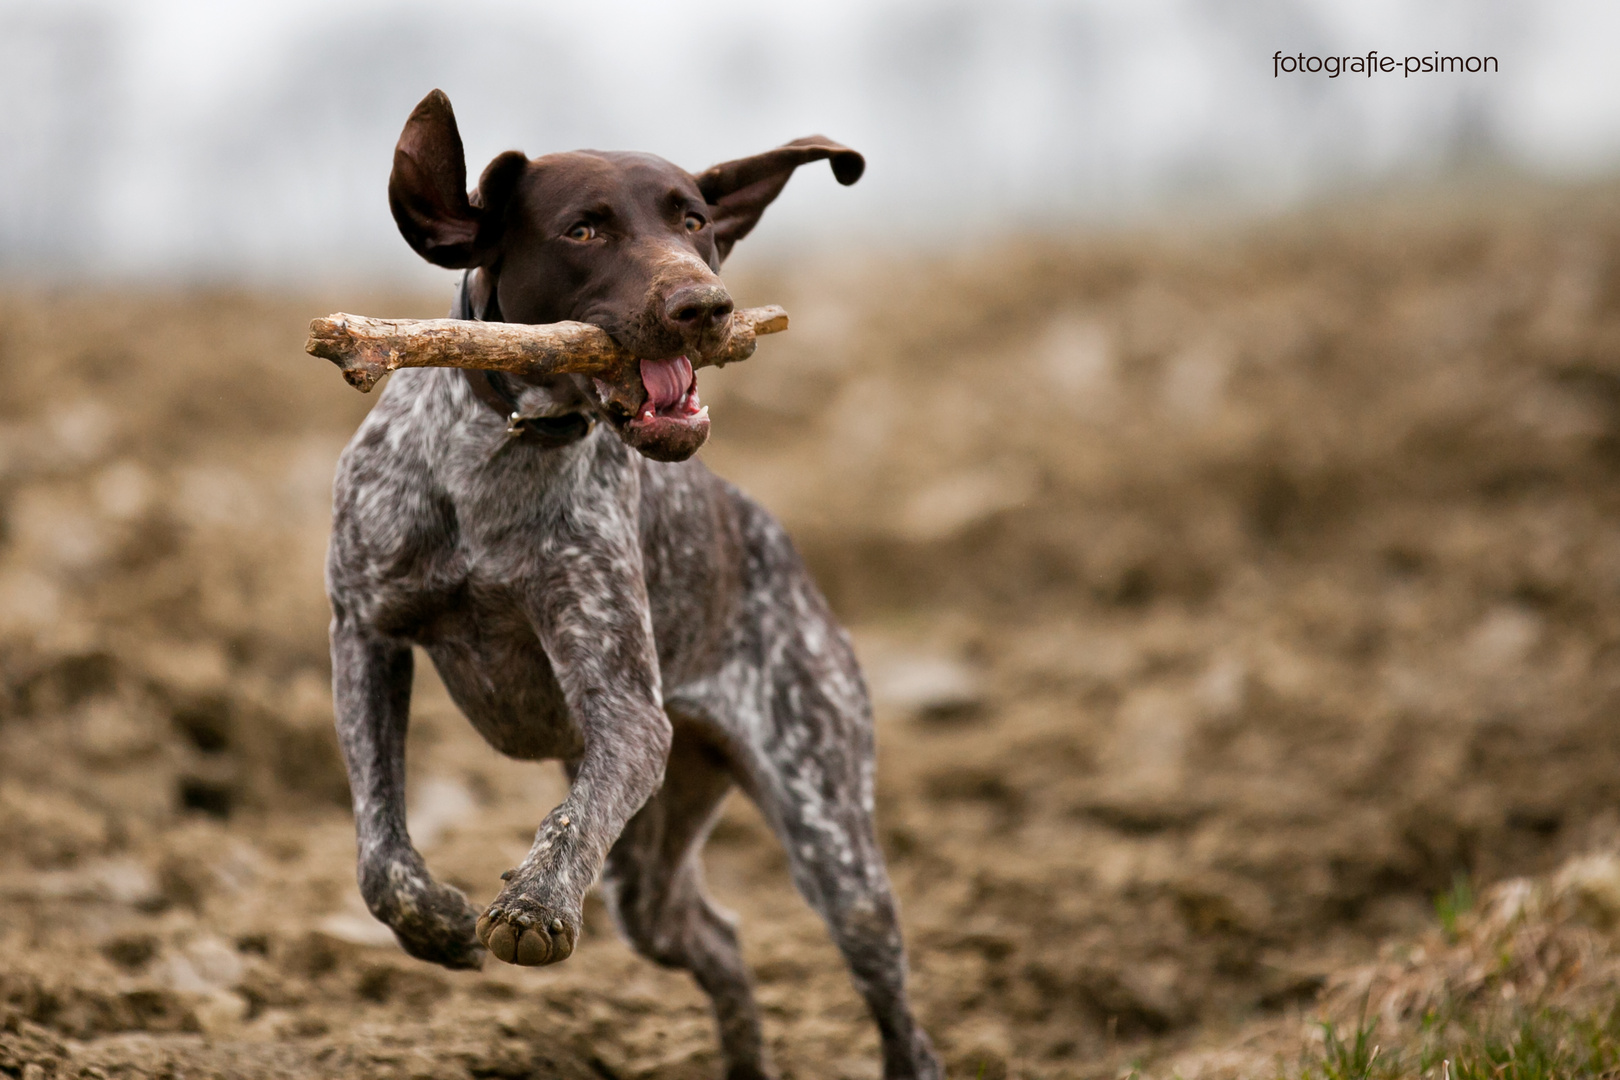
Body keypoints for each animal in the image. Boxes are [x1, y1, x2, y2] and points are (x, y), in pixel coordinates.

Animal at [324, 90, 946, 1080]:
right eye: (584, 229)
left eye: (694, 222)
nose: (707, 305)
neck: (503, 447)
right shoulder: (364, 632)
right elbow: (381, 856)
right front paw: (438, 923)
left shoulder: (628, 716)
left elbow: (571, 819)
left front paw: (536, 902)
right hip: (652, 870)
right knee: (716, 937)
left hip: (828, 833)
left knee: (892, 1004)